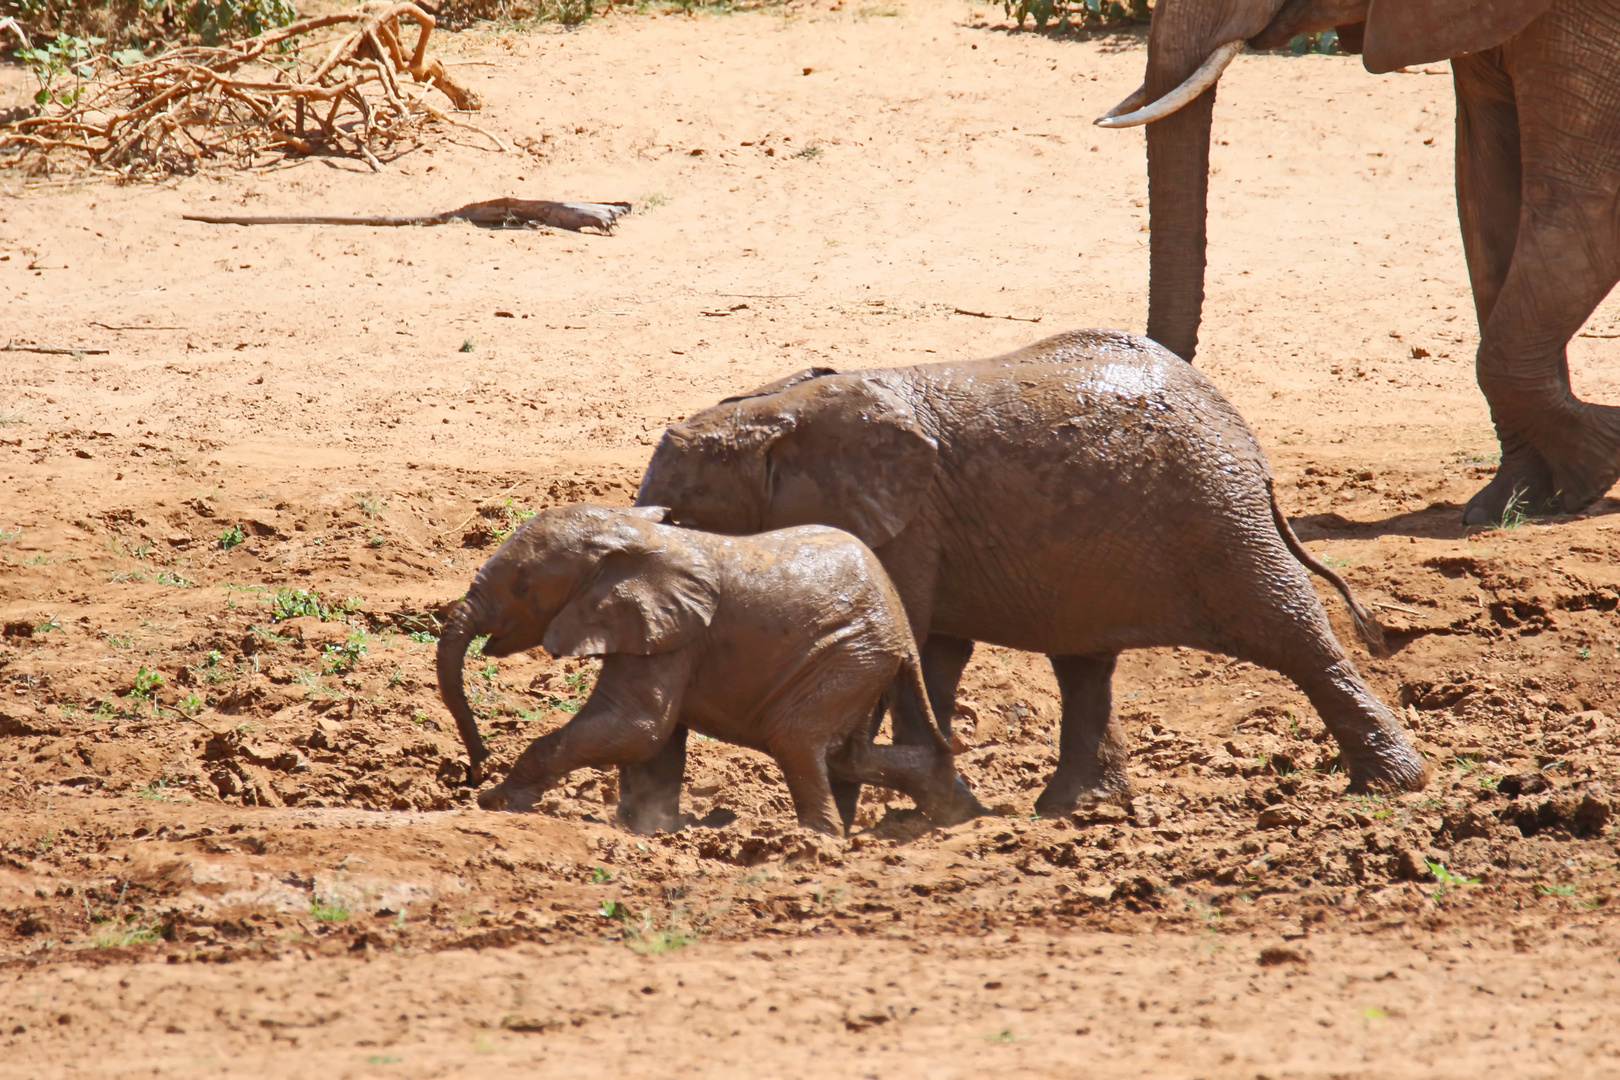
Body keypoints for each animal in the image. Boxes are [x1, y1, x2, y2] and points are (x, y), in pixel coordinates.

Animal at [437, 505, 978, 835]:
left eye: (522, 586)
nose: (475, 765)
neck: (632, 531)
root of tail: (904, 634)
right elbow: (651, 737)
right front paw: (648, 829)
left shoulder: (676, 632)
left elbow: (638, 726)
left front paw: (496, 802)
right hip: (863, 661)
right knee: (846, 755)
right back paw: (955, 810)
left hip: (849, 653)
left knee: (797, 739)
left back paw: (816, 844)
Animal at [631, 330, 1432, 819]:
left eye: (686, 504)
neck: (783, 406)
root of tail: (1247, 439)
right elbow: (931, 650)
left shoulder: (907, 520)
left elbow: (906, 640)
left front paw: (882, 812)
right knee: (1085, 665)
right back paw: (1078, 811)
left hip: (1219, 517)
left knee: (1292, 633)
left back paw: (1393, 789)